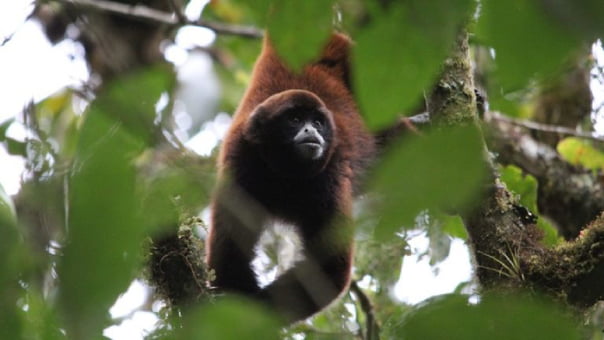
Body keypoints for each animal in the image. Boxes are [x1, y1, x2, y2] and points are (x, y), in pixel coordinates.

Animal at [208, 33, 378, 322]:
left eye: (318, 122)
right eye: (295, 119)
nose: (312, 131)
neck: (285, 173)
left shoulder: (329, 179)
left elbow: (329, 270)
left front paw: (259, 306)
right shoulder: (239, 163)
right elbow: (229, 252)